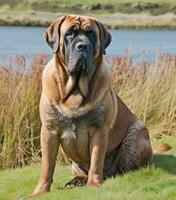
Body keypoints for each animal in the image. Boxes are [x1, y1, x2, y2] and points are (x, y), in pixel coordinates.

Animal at [30, 14, 153, 196]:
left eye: (91, 34)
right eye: (70, 33)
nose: (83, 46)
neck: (75, 90)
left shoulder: (99, 130)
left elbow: (96, 159)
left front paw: (94, 184)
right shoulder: (49, 130)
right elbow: (47, 165)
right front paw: (40, 191)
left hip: (136, 131)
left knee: (124, 167)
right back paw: (76, 181)